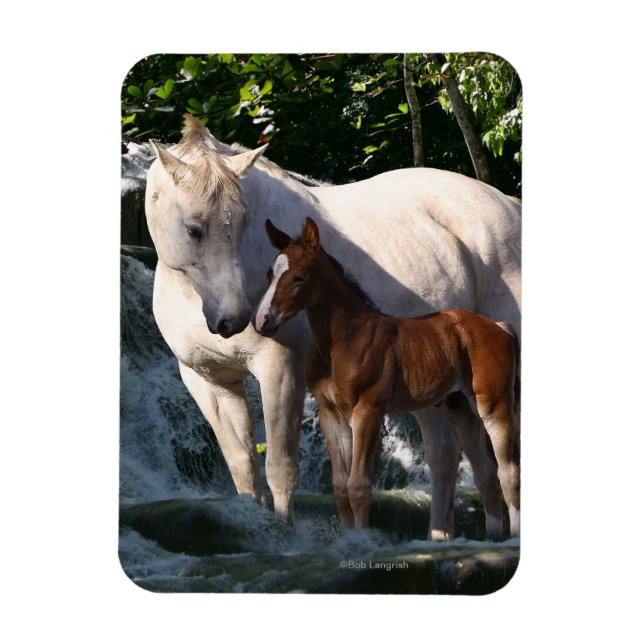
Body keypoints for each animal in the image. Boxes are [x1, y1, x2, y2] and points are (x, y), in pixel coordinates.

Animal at [255, 218, 520, 539]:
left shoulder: (368, 411)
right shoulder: (333, 415)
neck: (343, 341)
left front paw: (362, 539)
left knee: (508, 472)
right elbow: (340, 487)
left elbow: (359, 486)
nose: (262, 321)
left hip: (494, 407)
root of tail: (499, 327)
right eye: (270, 273)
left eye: (299, 277)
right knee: (486, 475)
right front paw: (349, 539)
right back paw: (493, 538)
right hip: (460, 409)